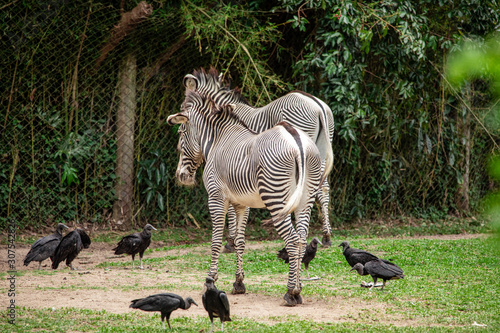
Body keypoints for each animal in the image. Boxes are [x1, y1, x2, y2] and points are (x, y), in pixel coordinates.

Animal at [166, 89, 326, 304]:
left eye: (181, 133)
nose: (181, 176)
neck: (218, 140)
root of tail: (294, 137)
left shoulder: (216, 198)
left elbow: (215, 241)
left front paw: (210, 280)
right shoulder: (242, 204)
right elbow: (240, 242)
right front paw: (239, 283)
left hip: (277, 198)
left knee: (292, 241)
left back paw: (291, 292)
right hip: (305, 199)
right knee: (301, 239)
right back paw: (299, 288)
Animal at [182, 67, 334, 249]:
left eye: (183, 107)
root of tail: (317, 106)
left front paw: (231, 240)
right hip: (321, 147)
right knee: (323, 188)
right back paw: (326, 236)